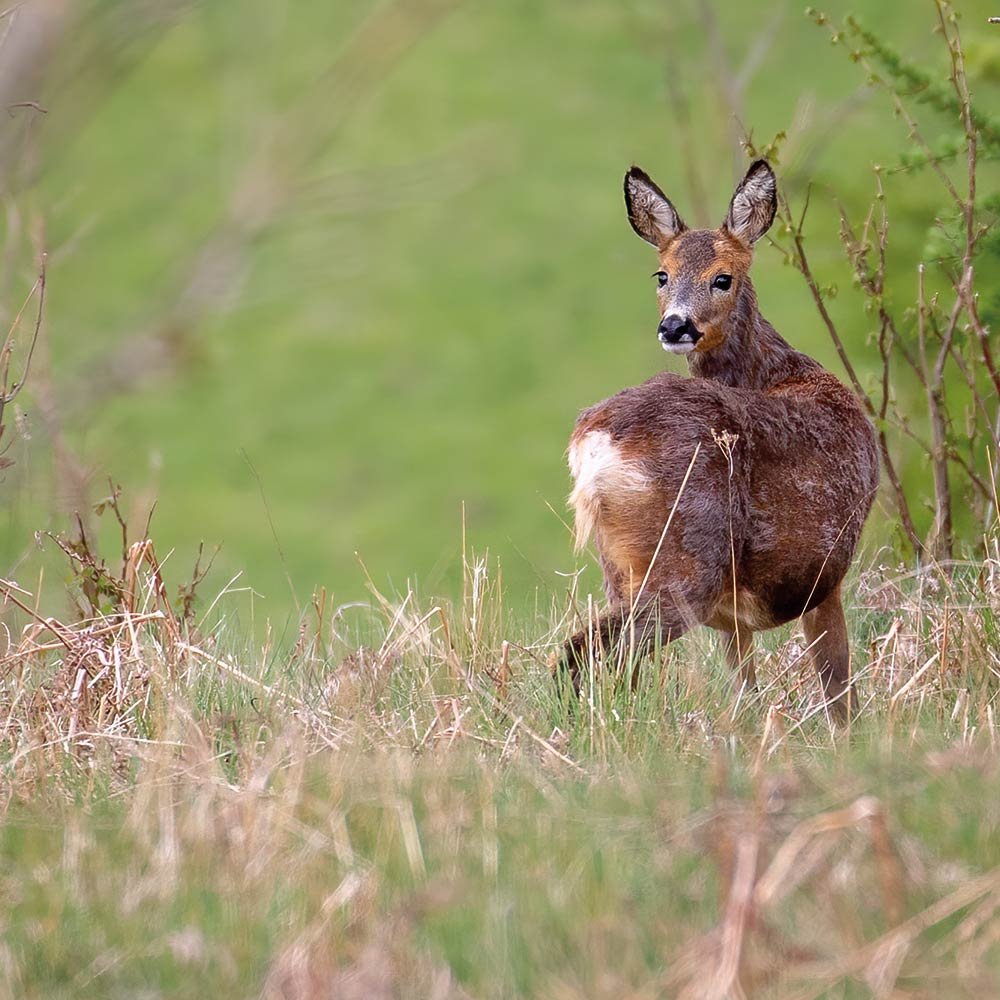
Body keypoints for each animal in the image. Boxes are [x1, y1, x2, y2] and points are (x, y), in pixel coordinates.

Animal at [560, 160, 880, 720]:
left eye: (722, 278)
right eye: (662, 275)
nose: (675, 326)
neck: (776, 372)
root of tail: (596, 442)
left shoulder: (735, 618)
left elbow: (744, 695)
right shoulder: (825, 574)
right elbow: (839, 689)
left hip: (621, 566)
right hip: (685, 564)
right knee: (586, 651)